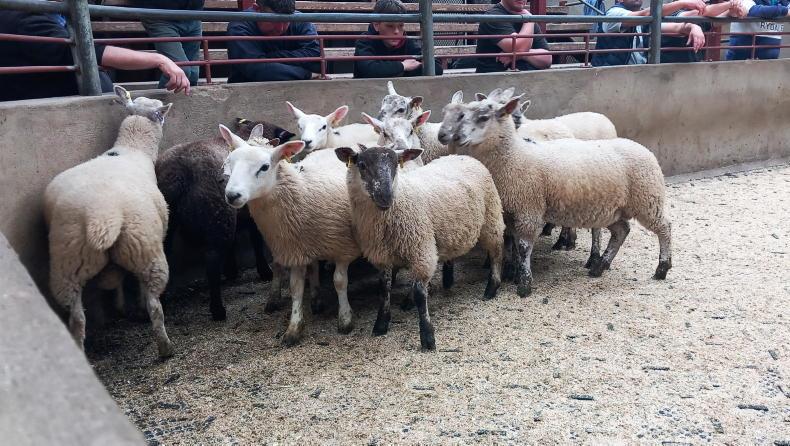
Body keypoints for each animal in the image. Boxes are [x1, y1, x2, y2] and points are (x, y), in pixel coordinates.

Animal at [44, 86, 174, 358]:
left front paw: (120, 305)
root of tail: (102, 216)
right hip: (146, 250)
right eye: (160, 115)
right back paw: (165, 347)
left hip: (67, 260)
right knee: (154, 304)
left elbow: (117, 278)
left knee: (77, 317)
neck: (132, 149)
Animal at [155, 124, 278, 321]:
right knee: (212, 260)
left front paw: (232, 271)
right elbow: (256, 240)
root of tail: (180, 169)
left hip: (171, 218)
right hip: (217, 212)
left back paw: (163, 304)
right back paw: (218, 310)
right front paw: (264, 271)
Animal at [221, 126, 361, 346]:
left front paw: (345, 319)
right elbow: (296, 289)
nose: (232, 195)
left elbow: (339, 282)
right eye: (230, 162)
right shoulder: (294, 249)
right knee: (312, 268)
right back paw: (316, 299)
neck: (303, 191)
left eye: (264, 167)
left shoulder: (343, 249)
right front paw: (294, 328)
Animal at [334, 144, 505, 351]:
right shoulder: (383, 256)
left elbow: (419, 294)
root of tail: (462, 156)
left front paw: (427, 336)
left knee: (496, 252)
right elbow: (384, 289)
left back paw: (491, 288)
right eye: (362, 165)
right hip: (450, 231)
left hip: (491, 217)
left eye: (395, 165)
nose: (385, 197)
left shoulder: (420, 249)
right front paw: (381, 324)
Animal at [445, 96, 672, 297]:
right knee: (622, 231)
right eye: (463, 115)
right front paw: (512, 272)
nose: (456, 137)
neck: (514, 157)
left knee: (664, 228)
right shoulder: (509, 212)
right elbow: (511, 244)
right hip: (613, 209)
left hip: (647, 200)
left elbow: (524, 247)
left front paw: (524, 285)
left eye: (483, 117)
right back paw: (600, 266)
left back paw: (662, 268)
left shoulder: (529, 209)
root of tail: (643, 148)